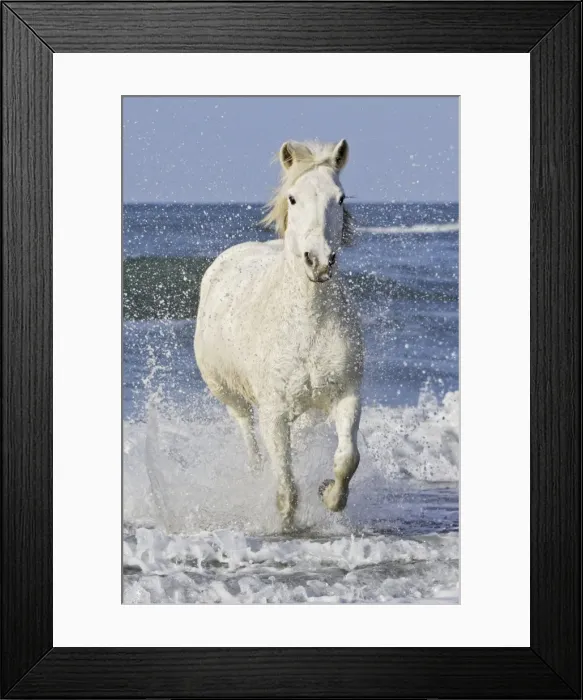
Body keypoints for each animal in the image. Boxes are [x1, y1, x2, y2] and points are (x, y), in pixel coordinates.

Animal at [194, 139, 364, 530]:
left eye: (340, 198)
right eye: (293, 198)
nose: (319, 261)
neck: (307, 324)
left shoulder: (347, 395)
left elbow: (347, 459)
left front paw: (329, 495)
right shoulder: (273, 410)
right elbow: (286, 484)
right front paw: (286, 524)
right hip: (231, 396)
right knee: (249, 436)